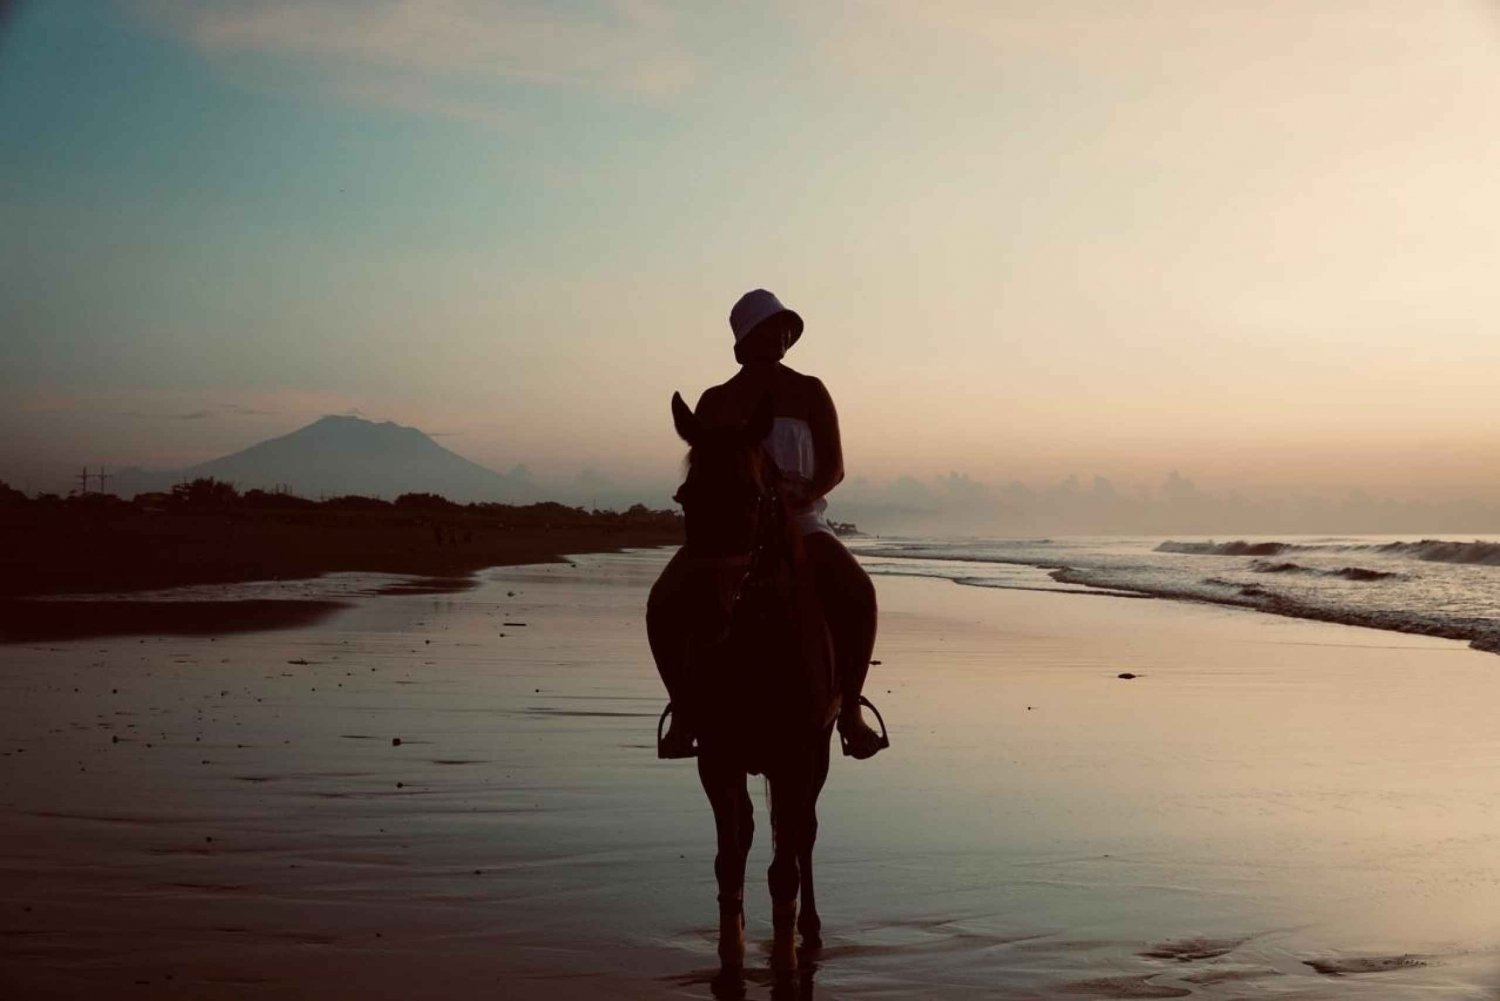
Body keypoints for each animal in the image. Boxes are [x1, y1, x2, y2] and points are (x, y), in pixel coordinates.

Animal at [660, 393, 840, 978]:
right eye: (685, 498)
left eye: (752, 497)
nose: (702, 615)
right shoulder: (717, 754)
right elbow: (729, 855)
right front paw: (730, 954)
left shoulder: (796, 756)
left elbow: (785, 863)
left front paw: (784, 962)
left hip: (818, 753)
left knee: (804, 833)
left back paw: (809, 929)